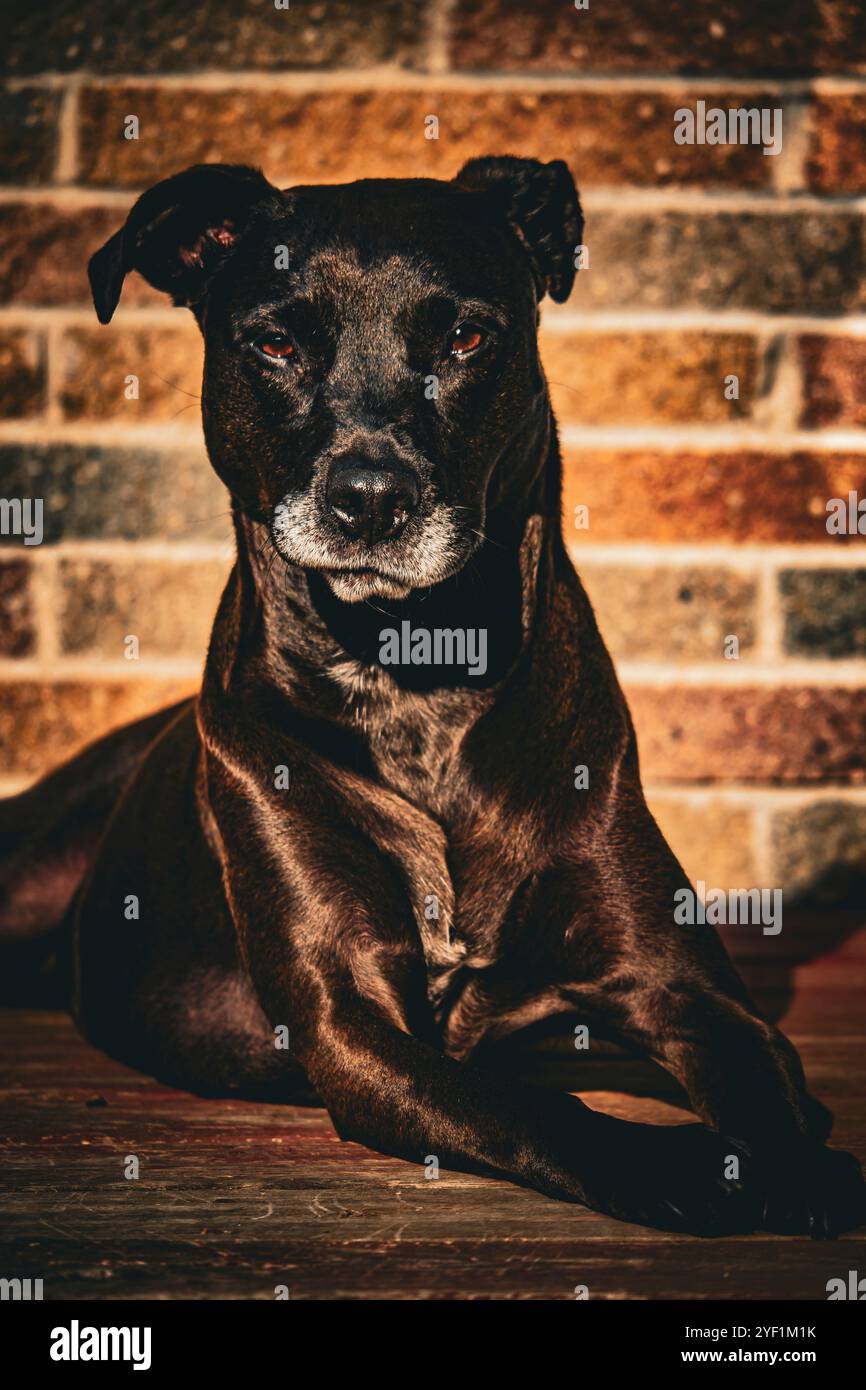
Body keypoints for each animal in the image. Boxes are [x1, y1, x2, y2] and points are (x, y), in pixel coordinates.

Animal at [1, 157, 866, 1234]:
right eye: (276, 343)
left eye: (465, 337)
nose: (370, 498)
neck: (414, 677)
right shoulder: (349, 1019)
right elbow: (526, 1104)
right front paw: (682, 1168)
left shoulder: (683, 988)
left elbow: (756, 1073)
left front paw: (797, 1163)